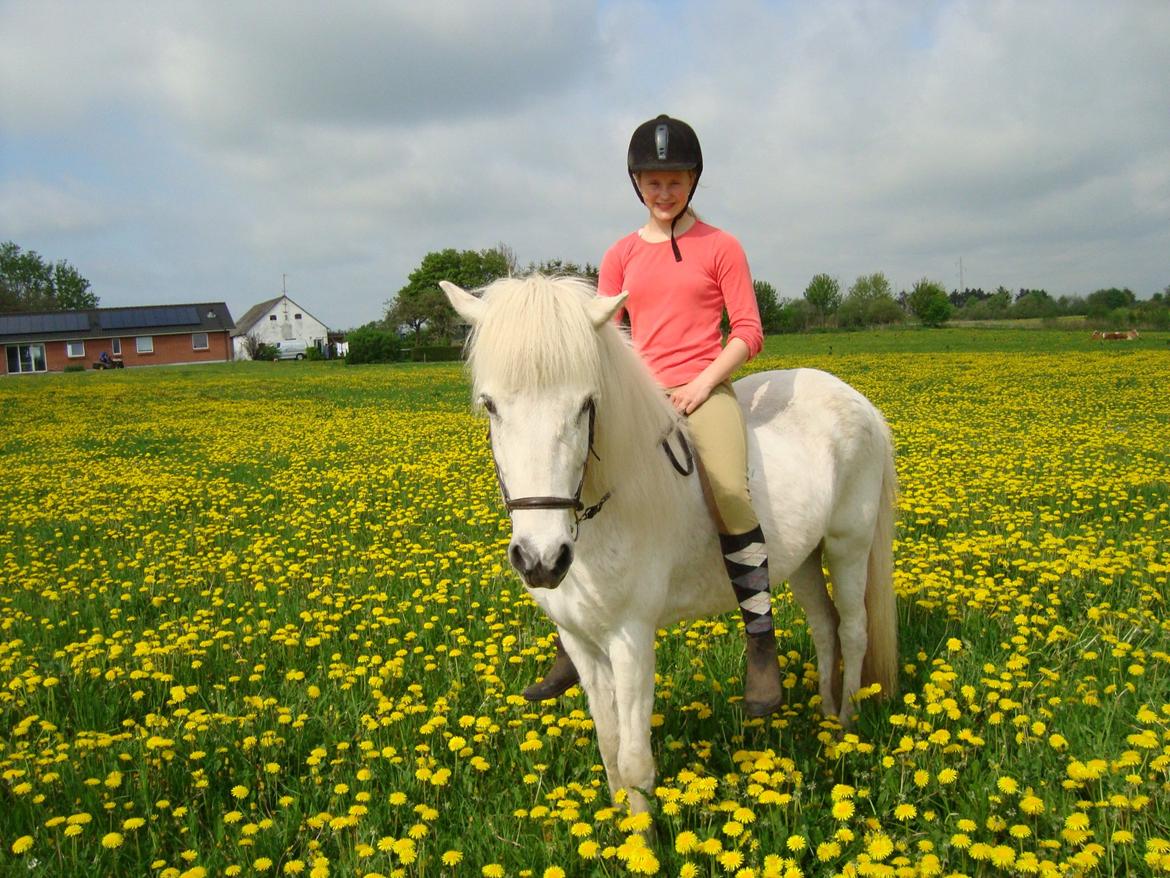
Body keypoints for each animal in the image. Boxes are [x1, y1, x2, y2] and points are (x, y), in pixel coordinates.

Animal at [442, 276, 898, 819]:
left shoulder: (631, 639)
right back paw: (827, 720)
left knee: (852, 629)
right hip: (804, 558)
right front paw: (619, 826)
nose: (541, 560)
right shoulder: (581, 642)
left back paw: (845, 725)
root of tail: (858, 401)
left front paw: (643, 837)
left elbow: (635, 761)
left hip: (848, 543)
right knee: (825, 626)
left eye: (586, 404)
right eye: (491, 405)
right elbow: (609, 747)